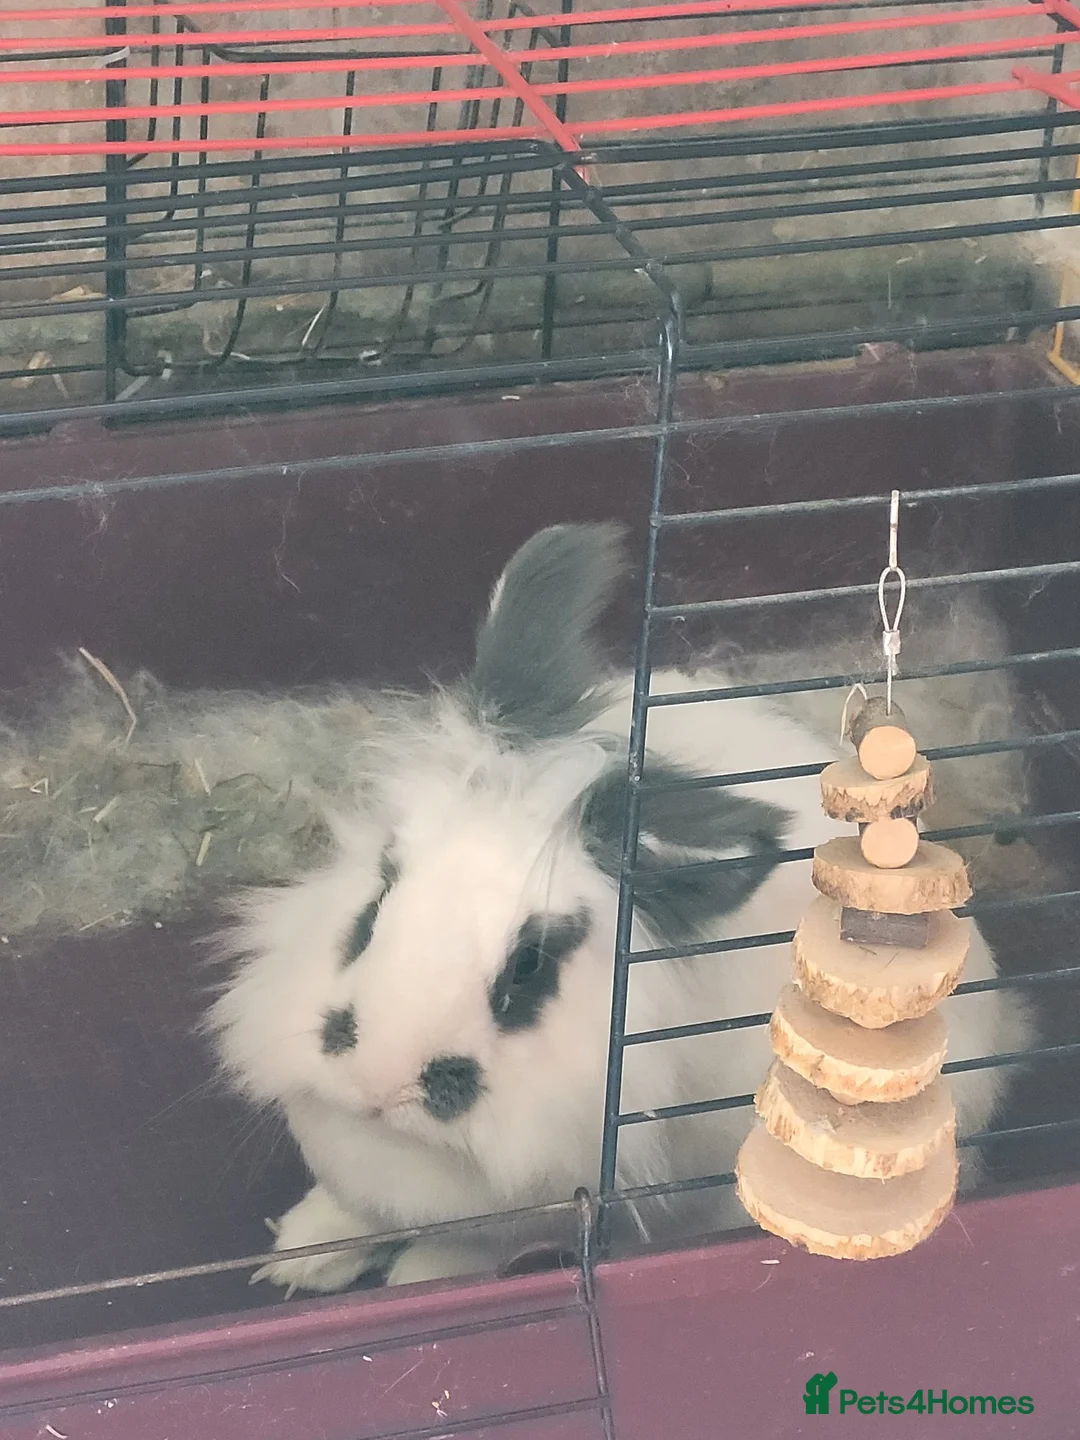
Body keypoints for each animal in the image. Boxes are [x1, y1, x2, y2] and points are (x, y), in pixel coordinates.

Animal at [207, 523, 1033, 1295]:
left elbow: (464, 1252)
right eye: (378, 897)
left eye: (530, 965)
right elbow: (348, 1212)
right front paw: (296, 1258)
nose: (381, 1084)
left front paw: (414, 1277)